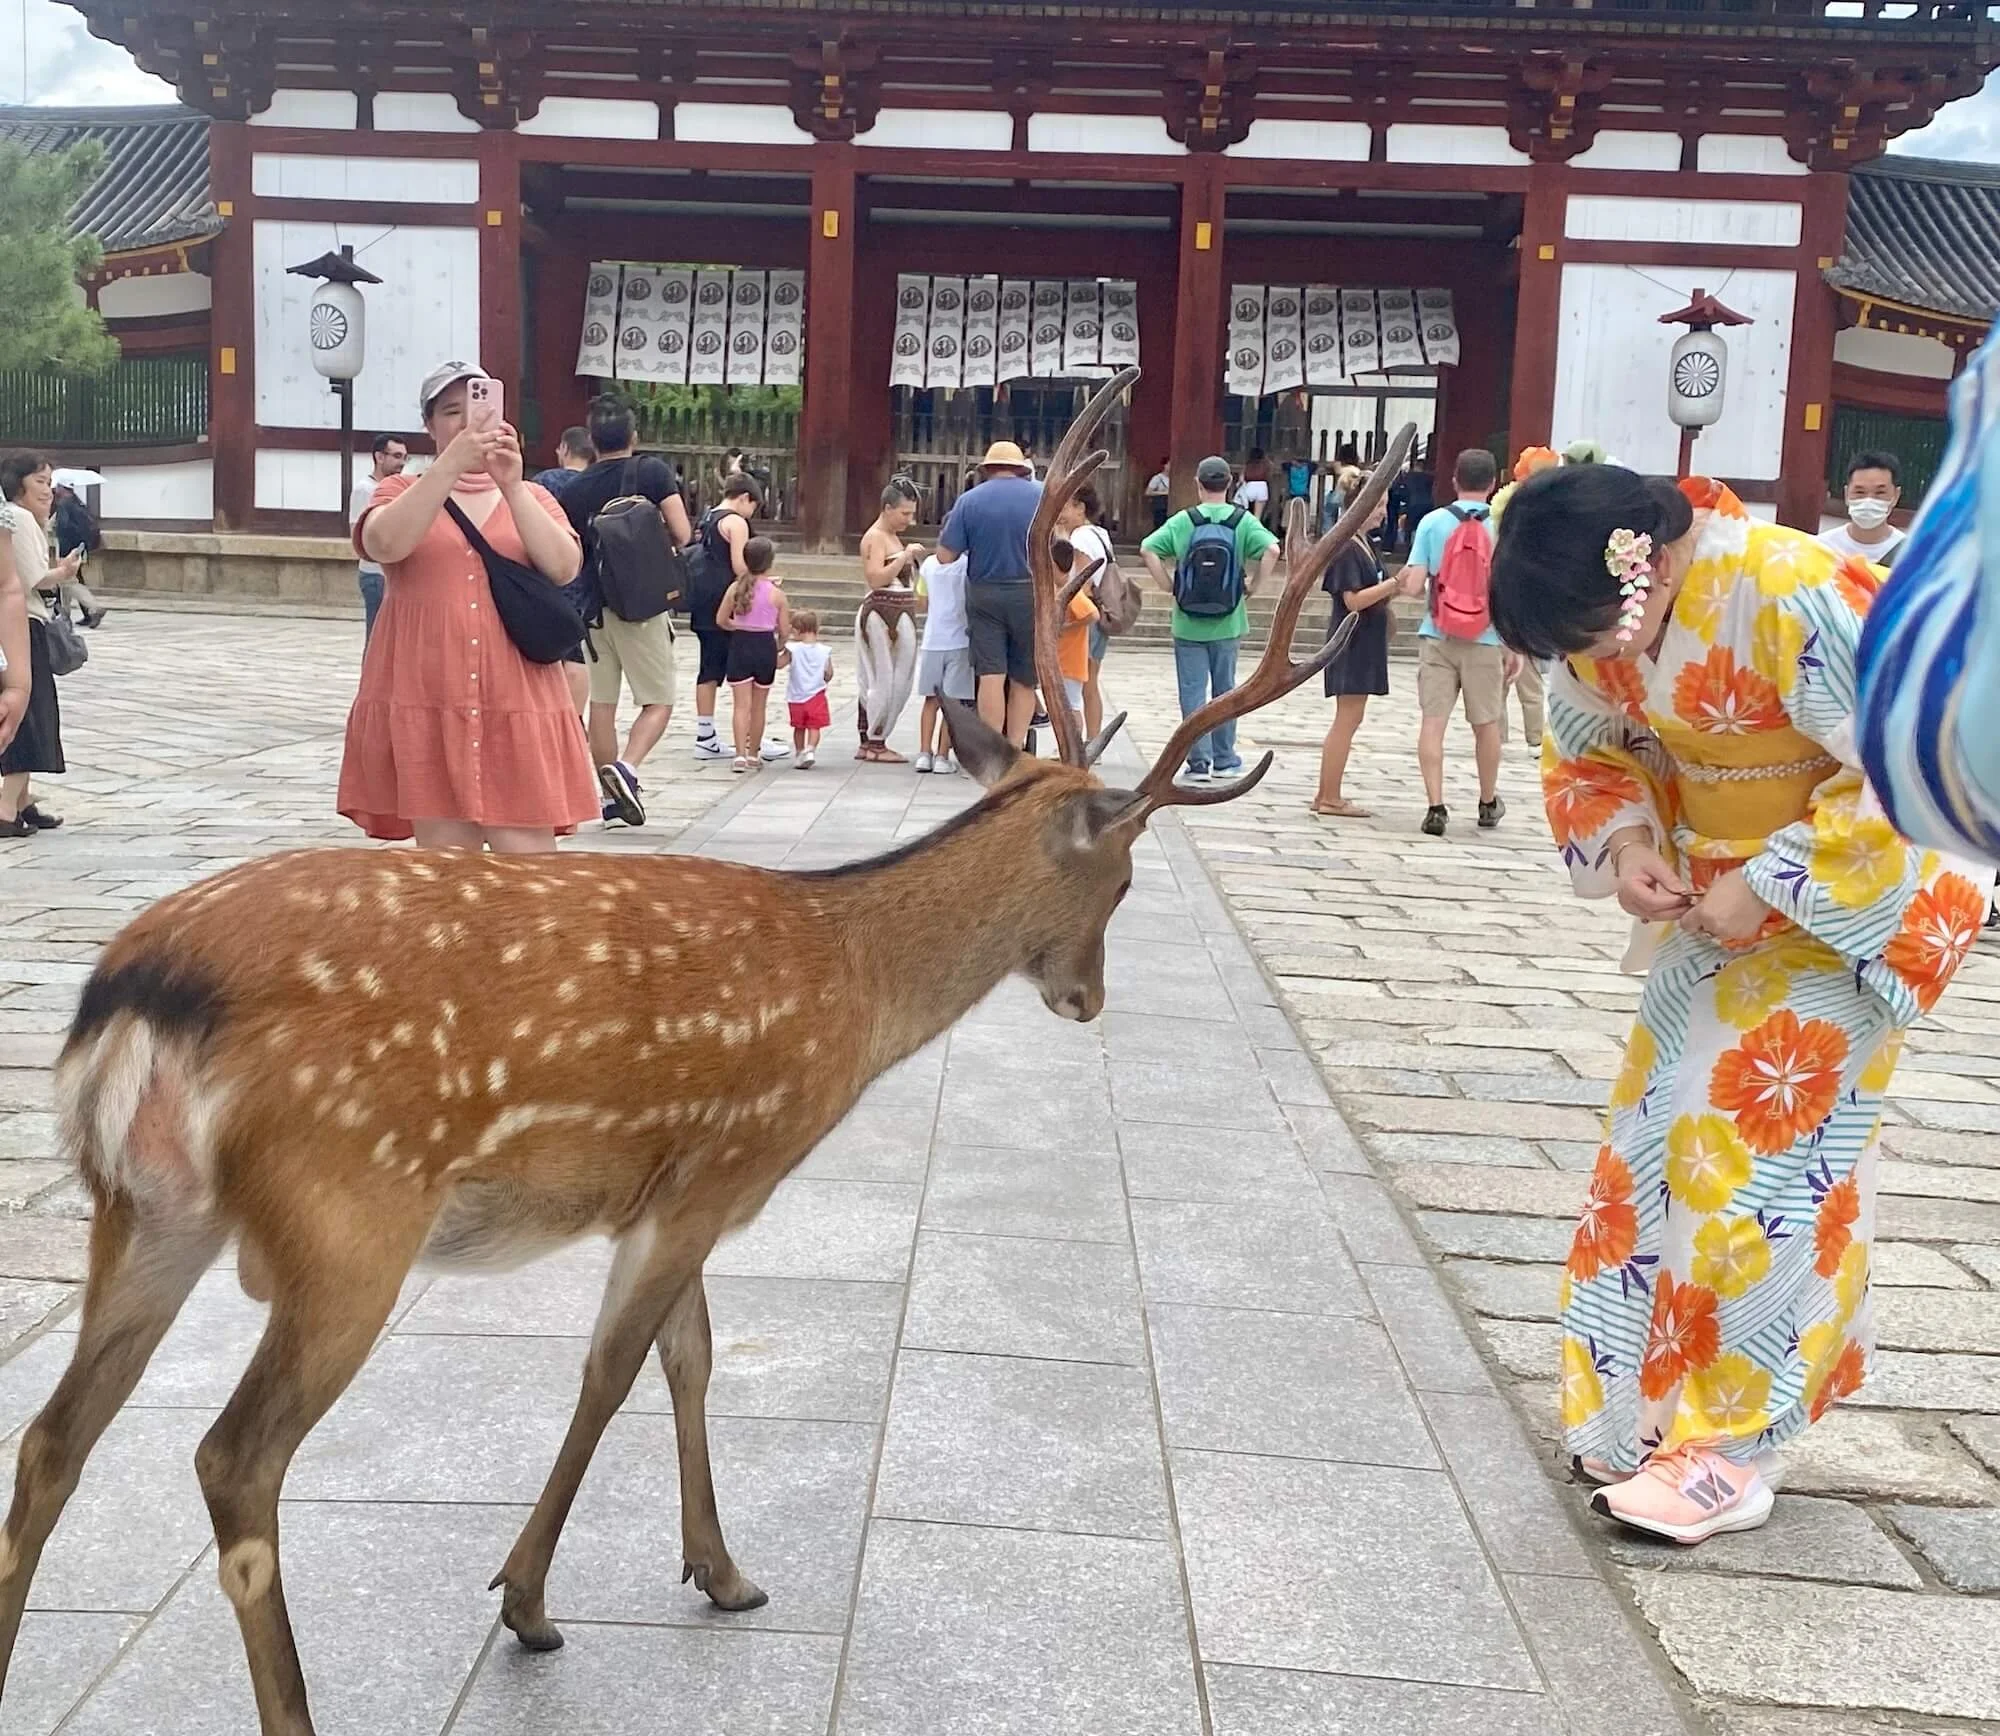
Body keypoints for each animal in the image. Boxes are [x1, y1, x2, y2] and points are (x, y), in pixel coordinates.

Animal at [0, 365, 1412, 1735]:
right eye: (1119, 881)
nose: (1086, 998)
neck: (850, 991)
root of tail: (135, 991)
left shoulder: (677, 1182)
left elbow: (691, 1357)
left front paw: (720, 1571)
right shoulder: (730, 1160)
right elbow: (614, 1368)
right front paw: (529, 1602)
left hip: (145, 1212)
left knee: (50, 1439)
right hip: (346, 1212)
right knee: (231, 1460)